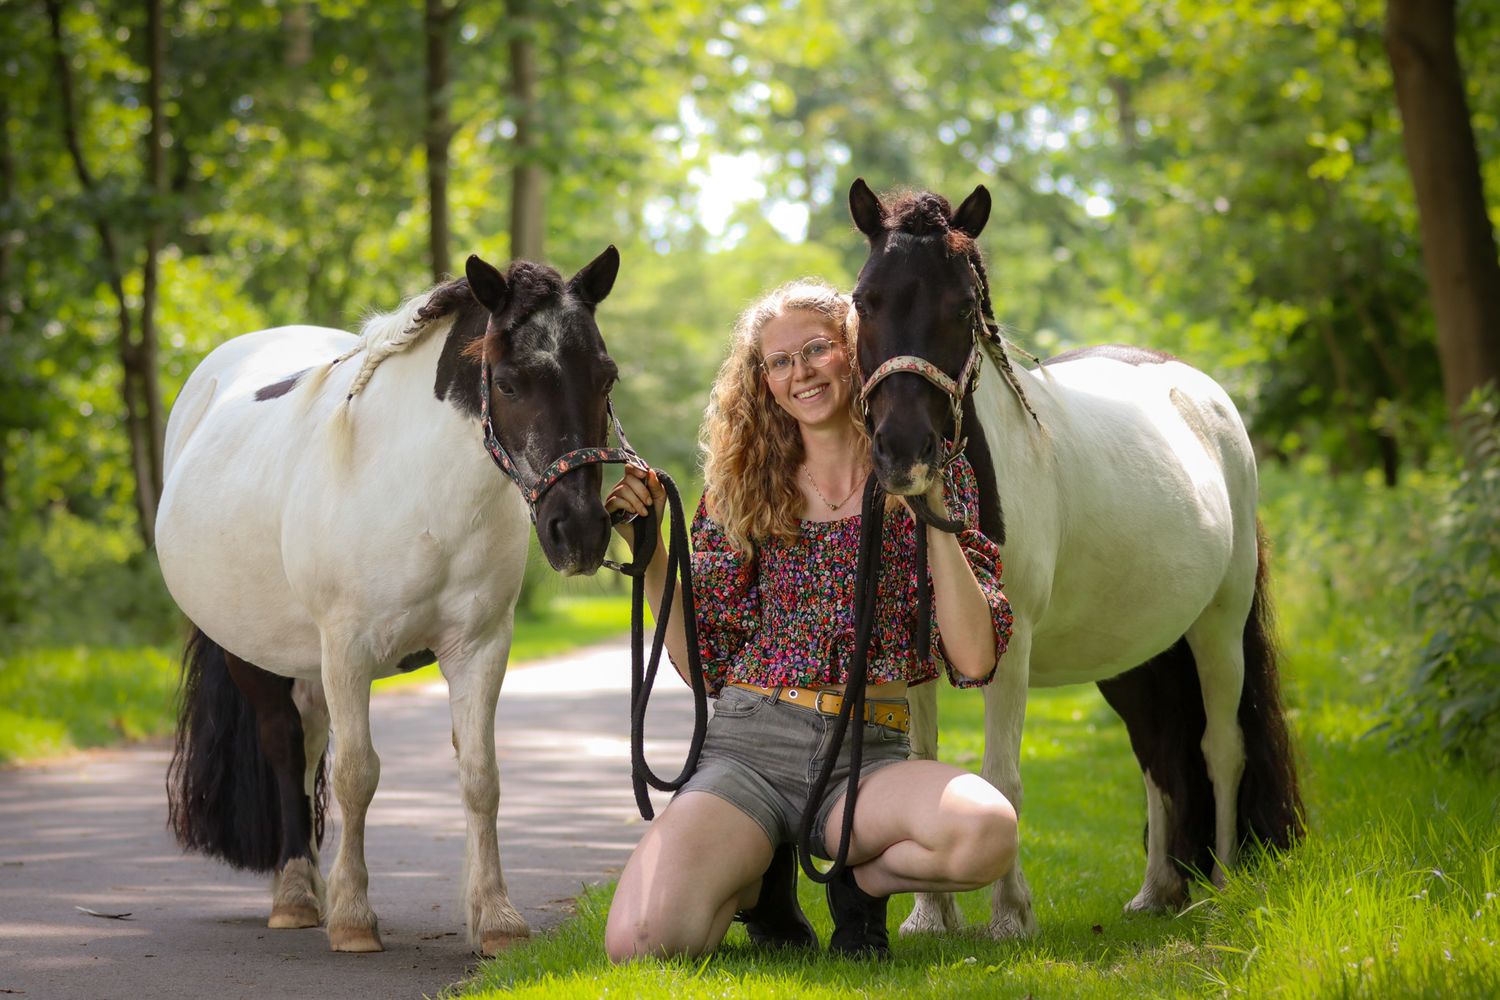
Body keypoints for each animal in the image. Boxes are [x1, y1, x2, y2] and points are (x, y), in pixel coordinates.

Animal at [157, 247, 625, 956]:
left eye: (606, 377)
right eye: (509, 383)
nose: (579, 532)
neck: (425, 494)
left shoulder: (480, 647)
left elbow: (481, 777)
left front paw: (496, 919)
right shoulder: (348, 650)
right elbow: (357, 774)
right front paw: (354, 918)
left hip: (309, 661)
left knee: (309, 739)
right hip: (256, 650)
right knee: (284, 744)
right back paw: (296, 895)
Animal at [844, 179, 1303, 939]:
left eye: (962, 306)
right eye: (863, 299)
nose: (903, 450)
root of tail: (1205, 395)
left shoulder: (1010, 648)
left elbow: (1001, 779)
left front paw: (1011, 916)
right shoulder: (909, 658)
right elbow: (923, 763)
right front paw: (931, 917)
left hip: (1219, 624)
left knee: (1220, 747)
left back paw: (1222, 884)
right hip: (1137, 651)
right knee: (1161, 754)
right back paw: (1157, 891)